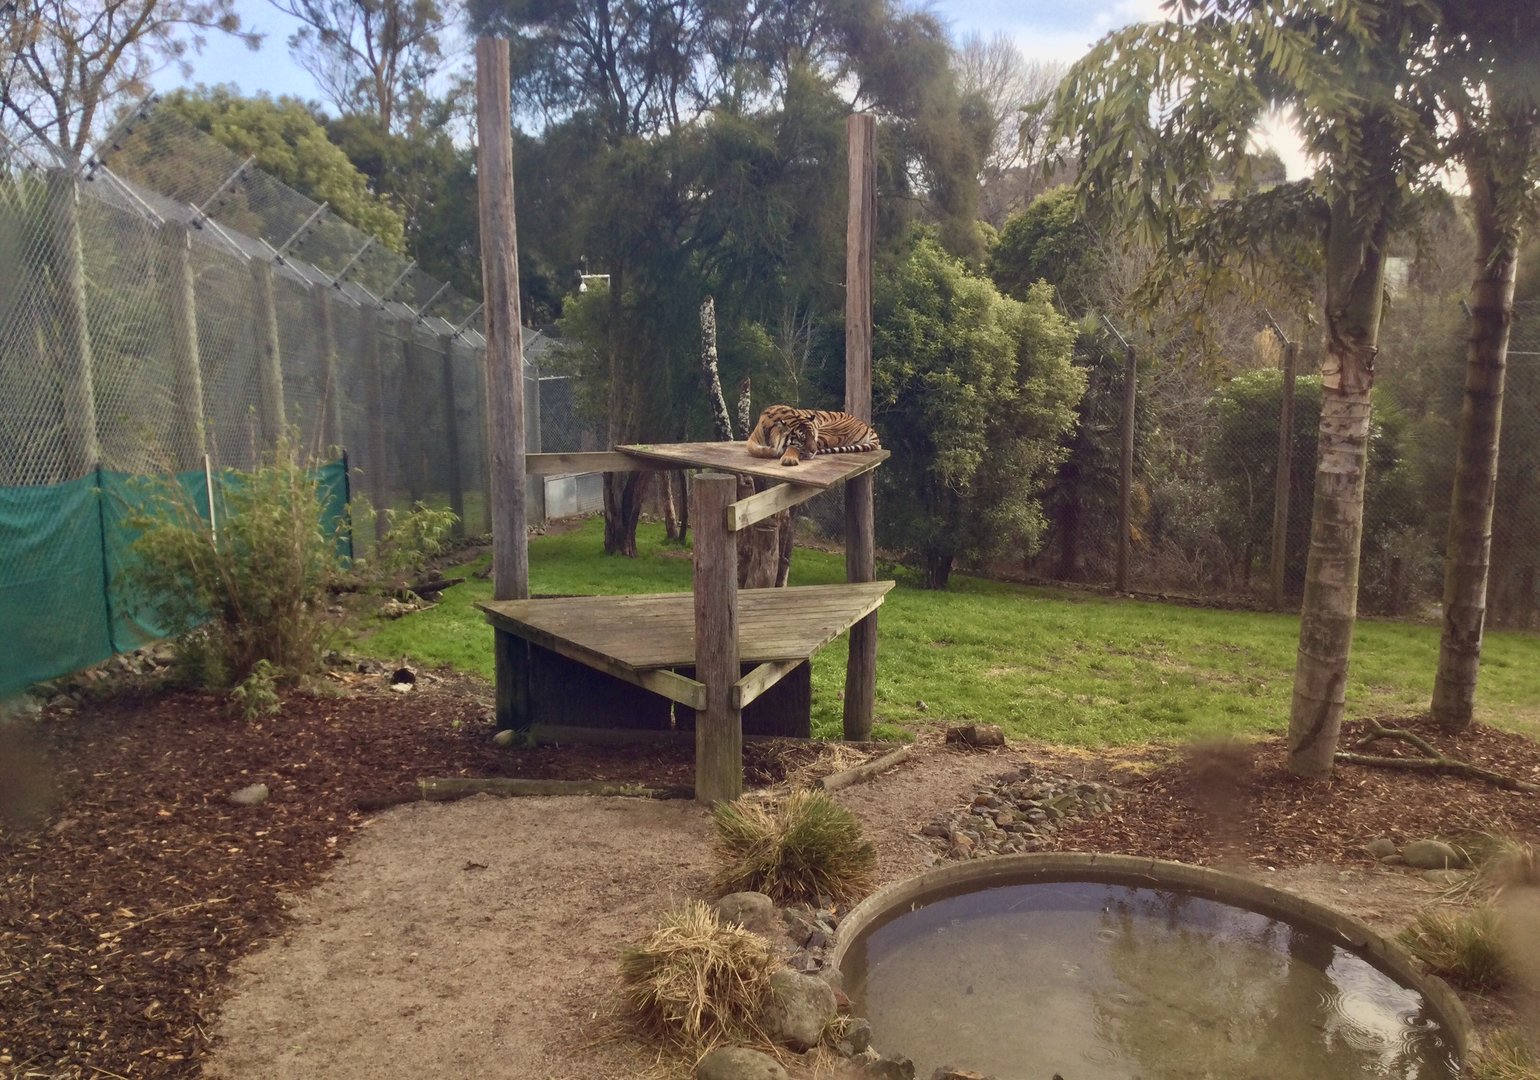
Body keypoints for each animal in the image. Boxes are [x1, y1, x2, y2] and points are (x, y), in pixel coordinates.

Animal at [744, 405, 882, 467]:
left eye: (812, 436)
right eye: (802, 439)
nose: (814, 451)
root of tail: (867, 426)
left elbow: (791, 448)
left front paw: (787, 458)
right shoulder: (752, 439)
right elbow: (756, 449)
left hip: (827, 431)